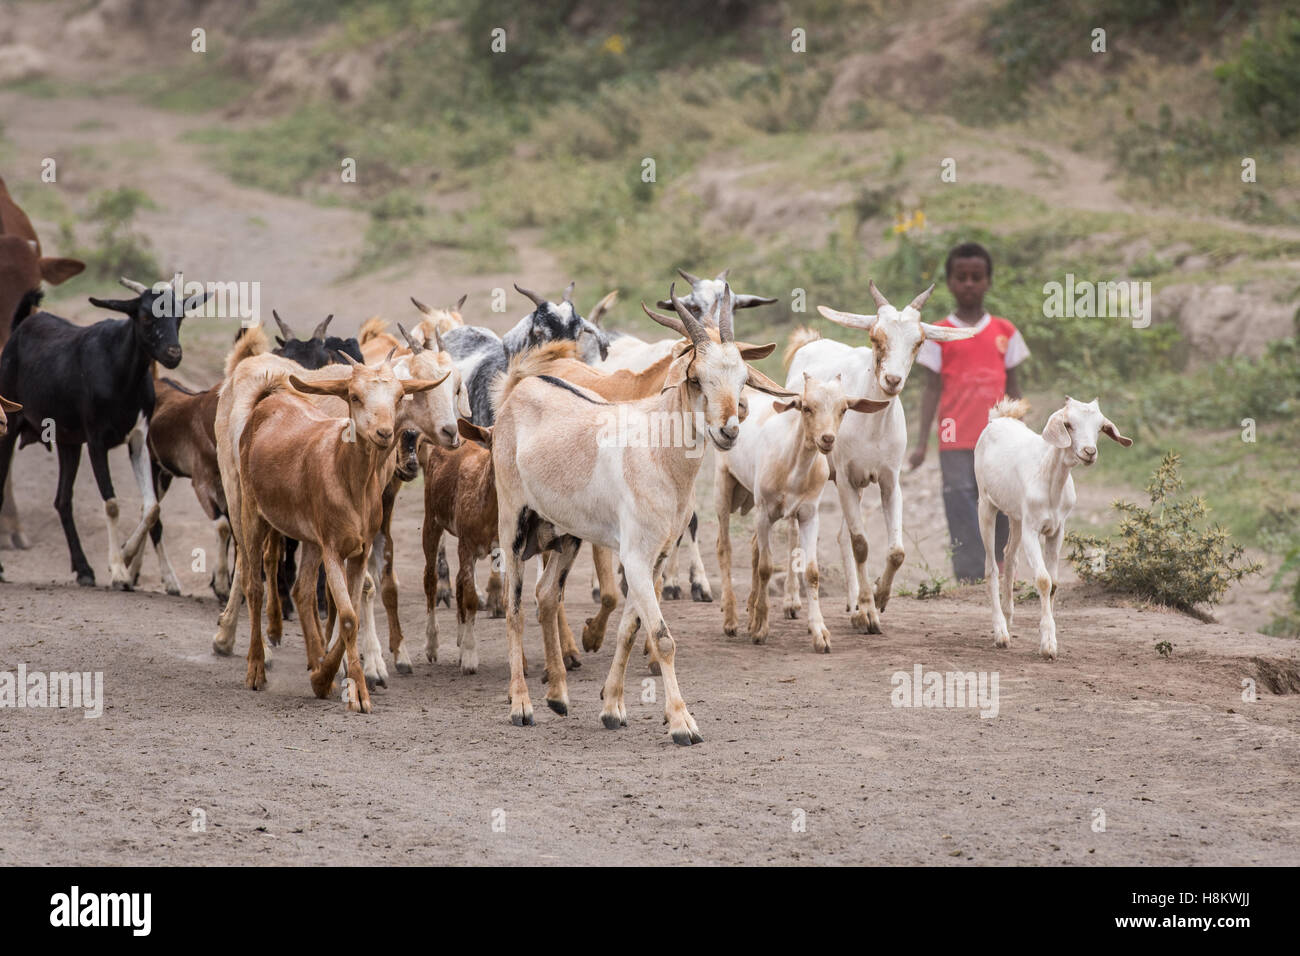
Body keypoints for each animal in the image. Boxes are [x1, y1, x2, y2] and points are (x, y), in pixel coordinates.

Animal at [0, 277, 210, 587]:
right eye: (145, 316)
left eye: (179, 317)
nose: (173, 354)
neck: (120, 373)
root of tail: (19, 329)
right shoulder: (96, 442)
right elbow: (111, 504)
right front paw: (119, 570)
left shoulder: (138, 439)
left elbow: (152, 507)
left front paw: (124, 555)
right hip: (10, 426)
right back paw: (4, 569)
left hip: (68, 442)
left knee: (63, 500)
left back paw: (84, 570)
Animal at [488, 283, 785, 749]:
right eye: (696, 377)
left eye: (742, 378)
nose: (729, 429)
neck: (656, 450)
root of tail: (517, 389)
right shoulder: (636, 556)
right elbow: (662, 637)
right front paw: (683, 724)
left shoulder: (655, 557)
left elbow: (630, 628)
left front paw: (612, 708)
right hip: (512, 522)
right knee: (514, 605)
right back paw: (521, 705)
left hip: (565, 534)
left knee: (546, 595)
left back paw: (558, 697)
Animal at [717, 369, 889, 655]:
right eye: (806, 407)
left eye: (843, 409)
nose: (828, 439)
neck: (791, 466)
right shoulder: (764, 511)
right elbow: (765, 567)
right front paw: (761, 629)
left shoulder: (809, 514)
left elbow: (811, 572)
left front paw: (820, 634)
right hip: (723, 482)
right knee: (725, 547)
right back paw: (731, 620)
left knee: (753, 548)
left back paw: (750, 611)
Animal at [780, 280, 977, 632]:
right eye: (875, 337)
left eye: (918, 342)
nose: (893, 381)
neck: (871, 424)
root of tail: (809, 344)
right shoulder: (846, 479)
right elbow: (861, 544)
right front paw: (870, 612)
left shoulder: (889, 481)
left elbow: (895, 550)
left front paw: (877, 599)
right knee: (792, 532)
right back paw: (792, 602)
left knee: (841, 536)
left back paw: (852, 603)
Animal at [977, 395, 1128, 658]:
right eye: (1068, 424)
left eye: (1100, 427)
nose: (1089, 452)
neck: (1050, 481)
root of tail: (999, 418)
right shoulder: (1032, 530)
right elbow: (1043, 580)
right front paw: (1048, 645)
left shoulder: (1057, 530)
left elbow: (1055, 583)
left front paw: (1047, 636)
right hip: (985, 504)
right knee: (991, 568)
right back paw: (1000, 633)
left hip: (1016, 516)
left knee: (1010, 557)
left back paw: (1008, 619)